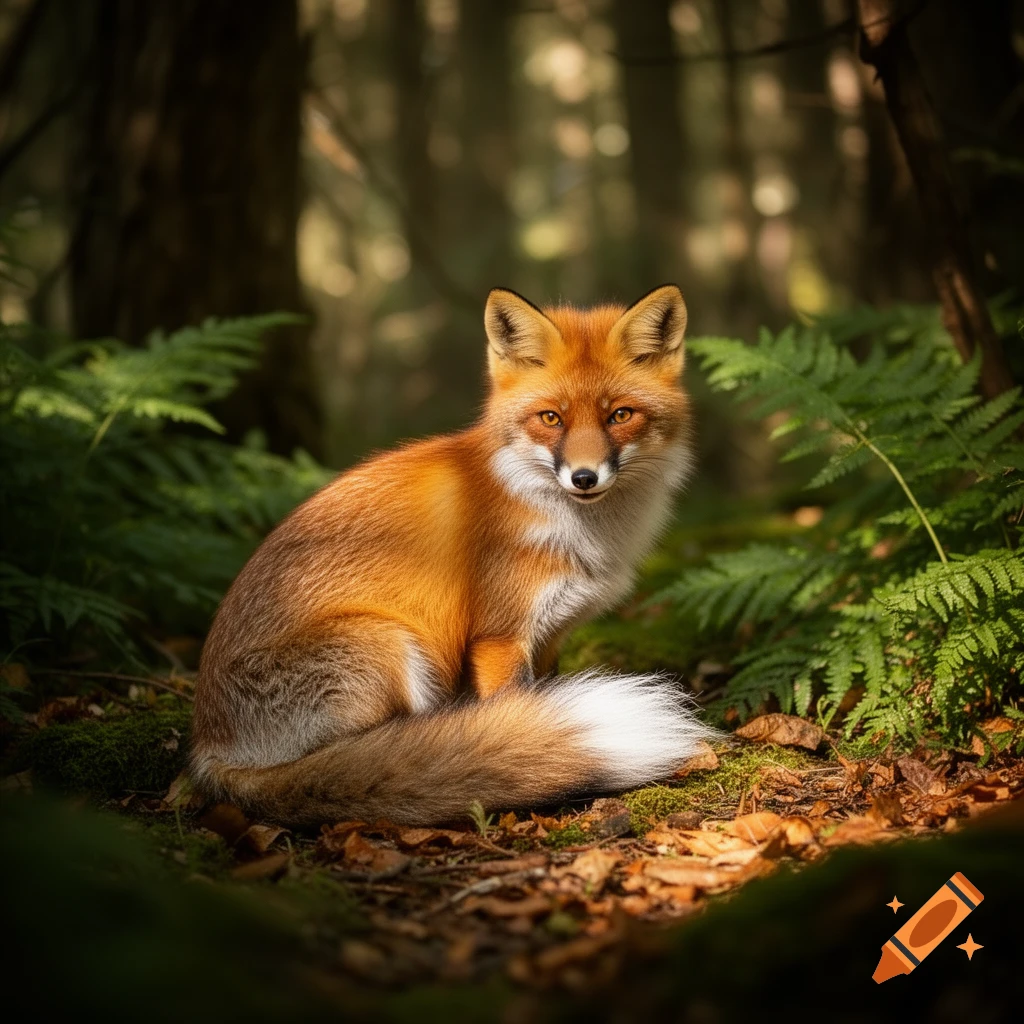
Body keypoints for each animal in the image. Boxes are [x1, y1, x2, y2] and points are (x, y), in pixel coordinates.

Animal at [190, 284, 713, 826]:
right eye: (551, 418)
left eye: (620, 415)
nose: (584, 478)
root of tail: (212, 752)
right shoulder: (499, 638)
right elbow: (515, 717)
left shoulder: (549, 635)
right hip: (386, 644)